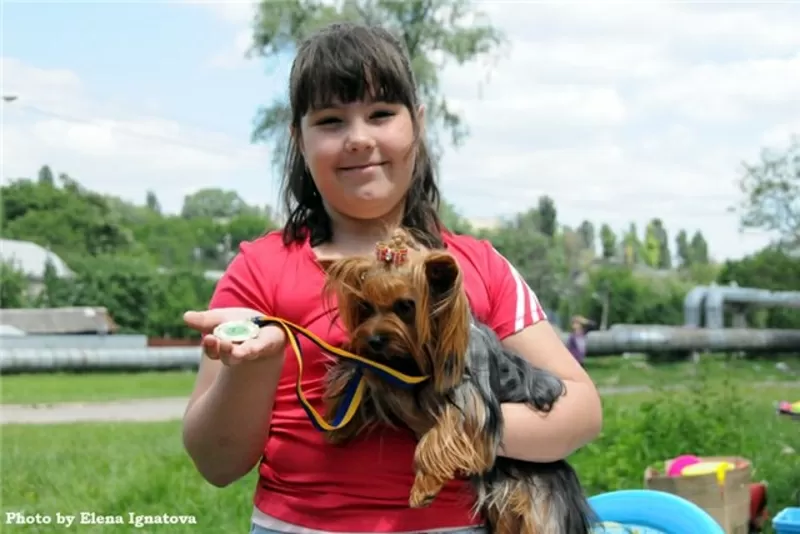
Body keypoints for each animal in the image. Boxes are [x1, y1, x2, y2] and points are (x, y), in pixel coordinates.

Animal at [324, 229, 592, 534]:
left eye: (406, 306)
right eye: (366, 306)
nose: (374, 340)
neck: (417, 359)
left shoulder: (472, 400)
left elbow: (446, 431)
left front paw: (422, 489)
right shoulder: (390, 369)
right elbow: (364, 379)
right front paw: (340, 418)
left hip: (543, 506)